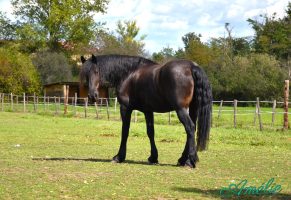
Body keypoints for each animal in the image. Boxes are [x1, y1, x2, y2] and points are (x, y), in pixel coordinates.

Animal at [80, 54, 212, 168]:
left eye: (96, 71)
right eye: (86, 74)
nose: (92, 96)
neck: (129, 74)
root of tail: (192, 67)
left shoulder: (125, 108)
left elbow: (125, 132)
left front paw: (119, 157)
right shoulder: (148, 111)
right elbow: (150, 132)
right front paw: (153, 157)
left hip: (181, 109)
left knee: (190, 128)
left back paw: (189, 161)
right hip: (192, 108)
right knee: (192, 129)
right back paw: (183, 159)